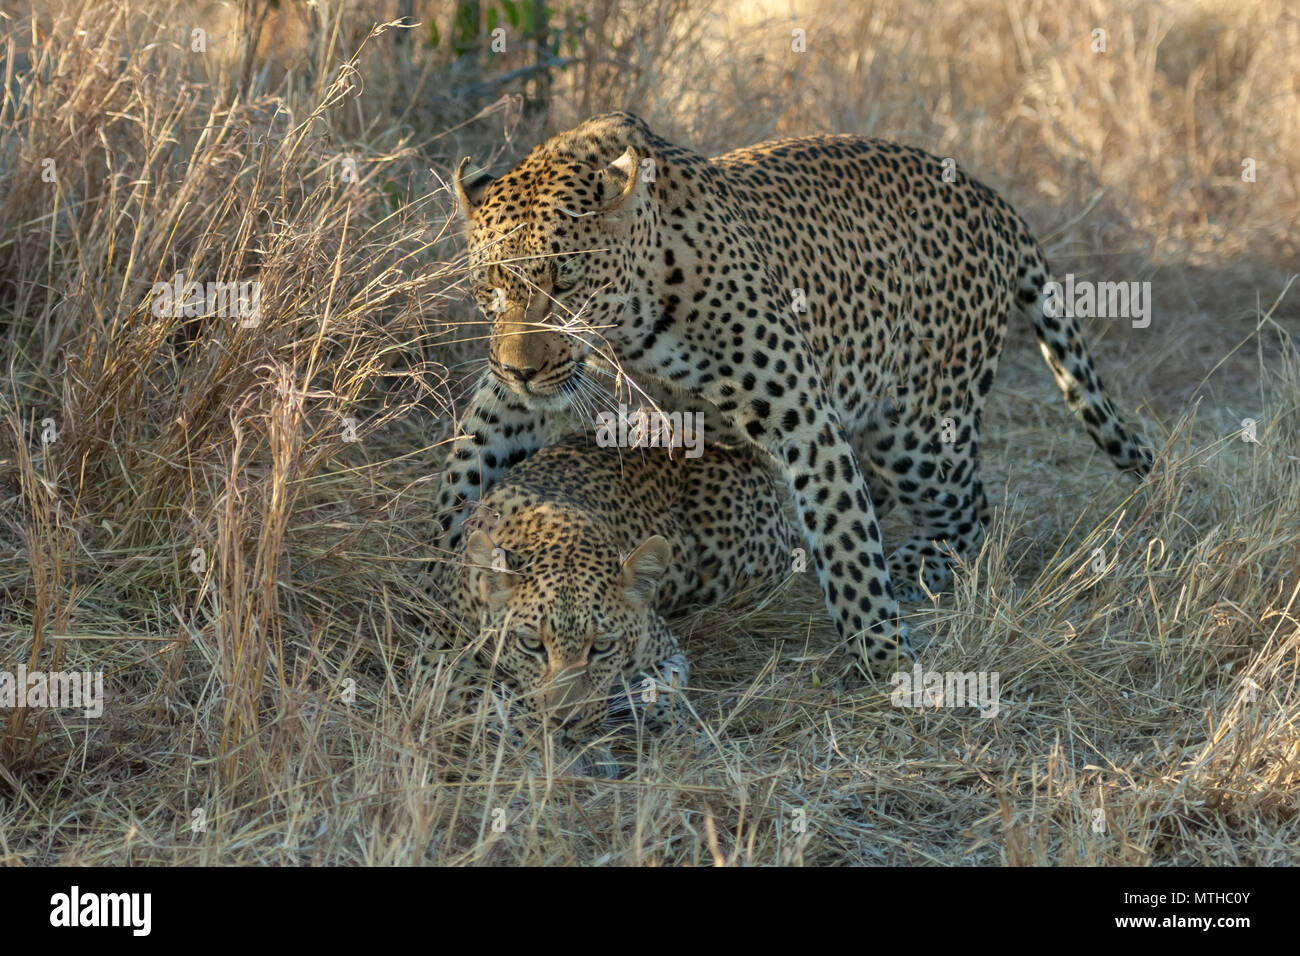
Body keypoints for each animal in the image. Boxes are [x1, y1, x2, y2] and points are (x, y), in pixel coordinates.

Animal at [434, 110, 1149, 681]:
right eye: (489, 286)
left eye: (566, 283)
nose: (521, 370)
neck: (632, 320)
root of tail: (992, 198)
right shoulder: (515, 396)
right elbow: (468, 464)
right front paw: (444, 578)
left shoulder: (799, 412)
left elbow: (844, 531)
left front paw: (884, 657)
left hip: (920, 429)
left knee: (967, 510)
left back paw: (912, 567)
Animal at [436, 431, 795, 749]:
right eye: (531, 645)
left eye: (603, 647)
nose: (565, 722)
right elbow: (488, 697)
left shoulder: (666, 649)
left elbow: (662, 686)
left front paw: (673, 727)